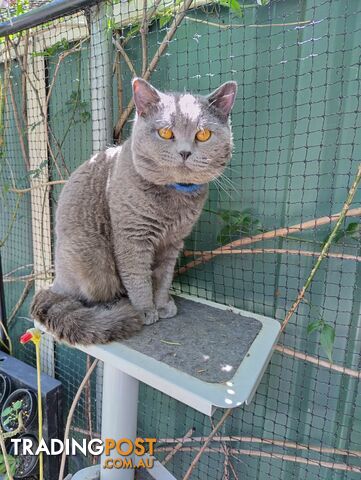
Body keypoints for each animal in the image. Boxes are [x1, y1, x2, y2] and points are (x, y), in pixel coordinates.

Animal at [31, 77, 236, 344]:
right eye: (165, 132)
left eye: (203, 134)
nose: (184, 152)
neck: (174, 202)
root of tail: (55, 282)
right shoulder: (132, 237)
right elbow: (138, 277)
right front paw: (145, 309)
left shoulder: (173, 243)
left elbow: (163, 278)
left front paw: (162, 304)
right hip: (92, 257)